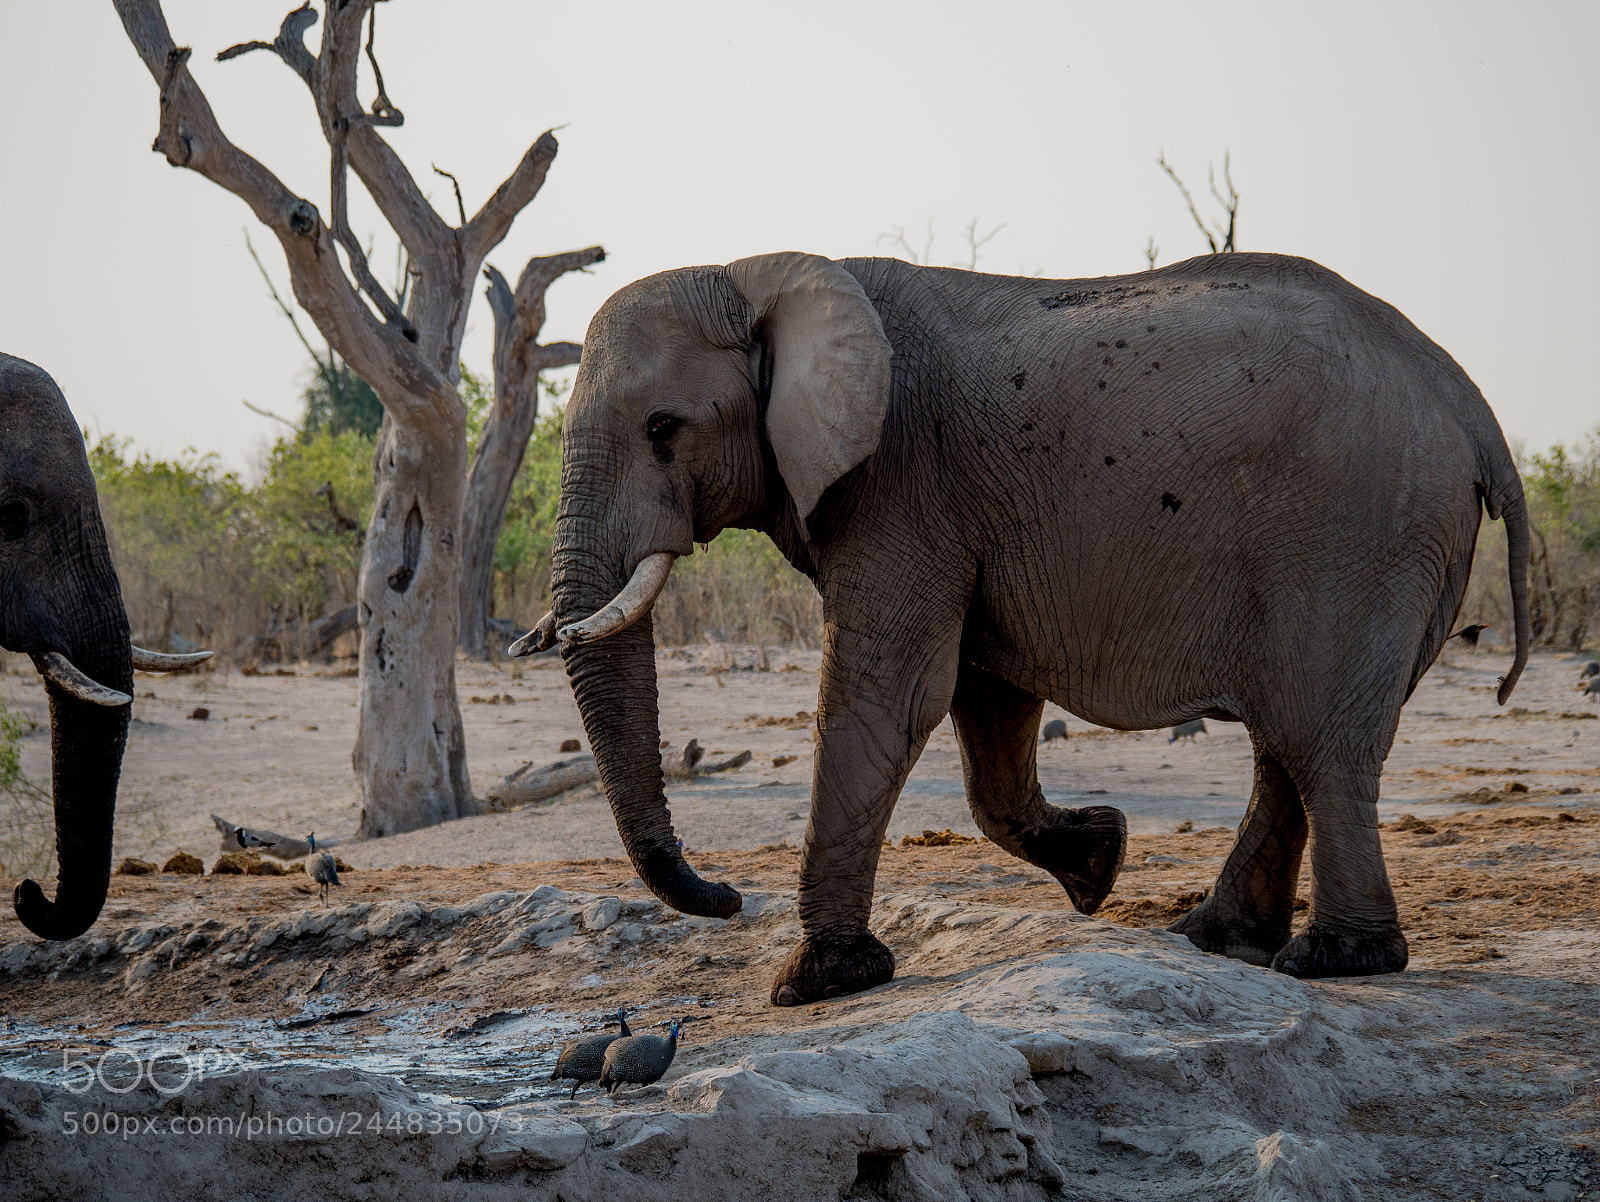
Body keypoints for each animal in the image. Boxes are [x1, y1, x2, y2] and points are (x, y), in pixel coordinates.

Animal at [513, 251, 1529, 1005]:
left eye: (663, 427)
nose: (724, 896)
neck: (758, 274)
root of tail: (1471, 402)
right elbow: (985, 704)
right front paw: (1098, 864)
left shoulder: (902, 480)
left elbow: (889, 696)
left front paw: (817, 983)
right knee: (1292, 740)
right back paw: (1218, 939)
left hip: (1359, 535)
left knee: (1322, 739)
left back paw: (1335, 962)